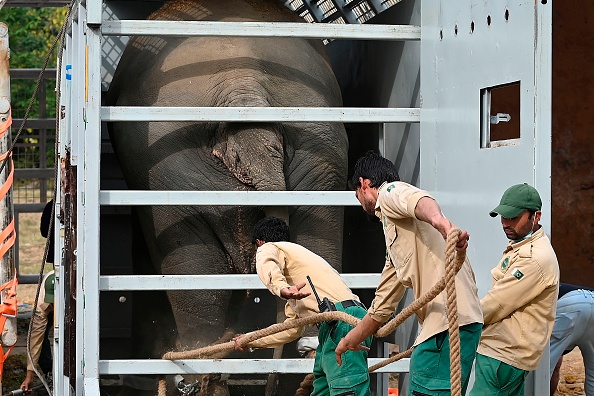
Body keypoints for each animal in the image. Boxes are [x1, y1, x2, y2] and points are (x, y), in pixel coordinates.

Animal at [106, 0, 346, 392]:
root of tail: (244, 88)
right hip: (322, 155)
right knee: (318, 245)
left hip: (171, 174)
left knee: (194, 270)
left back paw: (191, 369)